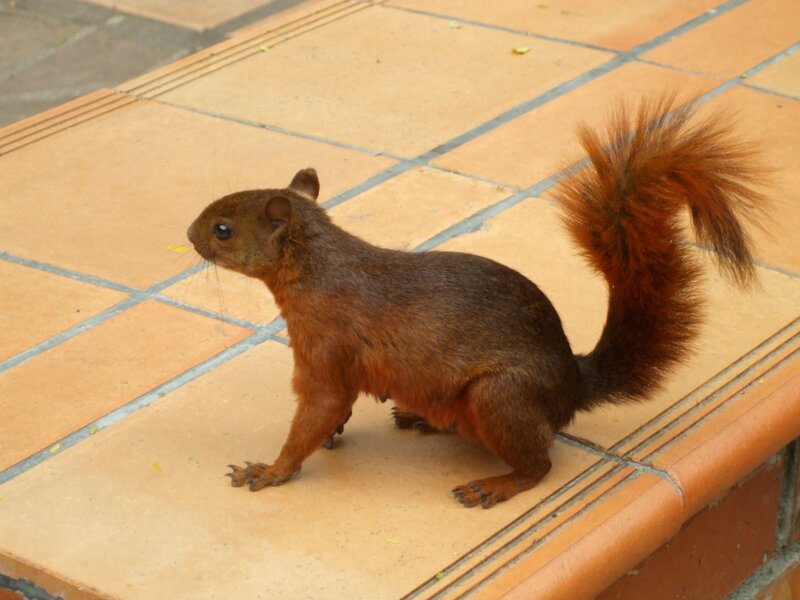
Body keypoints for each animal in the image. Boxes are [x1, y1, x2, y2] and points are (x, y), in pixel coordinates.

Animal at [187, 96, 766, 508]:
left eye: (223, 230)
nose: (188, 234)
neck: (315, 268)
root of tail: (572, 385)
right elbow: (334, 411)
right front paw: (329, 437)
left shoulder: (326, 350)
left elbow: (319, 409)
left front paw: (269, 471)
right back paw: (421, 418)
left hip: (500, 397)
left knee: (539, 466)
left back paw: (496, 485)